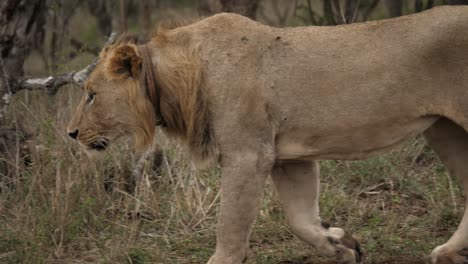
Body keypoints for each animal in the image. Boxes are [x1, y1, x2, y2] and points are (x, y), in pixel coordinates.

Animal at [68, 5, 468, 264]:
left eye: (91, 94)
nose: (71, 133)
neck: (174, 80)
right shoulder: (289, 159)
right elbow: (301, 218)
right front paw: (340, 243)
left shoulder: (248, 155)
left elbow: (231, 227)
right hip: (444, 130)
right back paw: (448, 251)